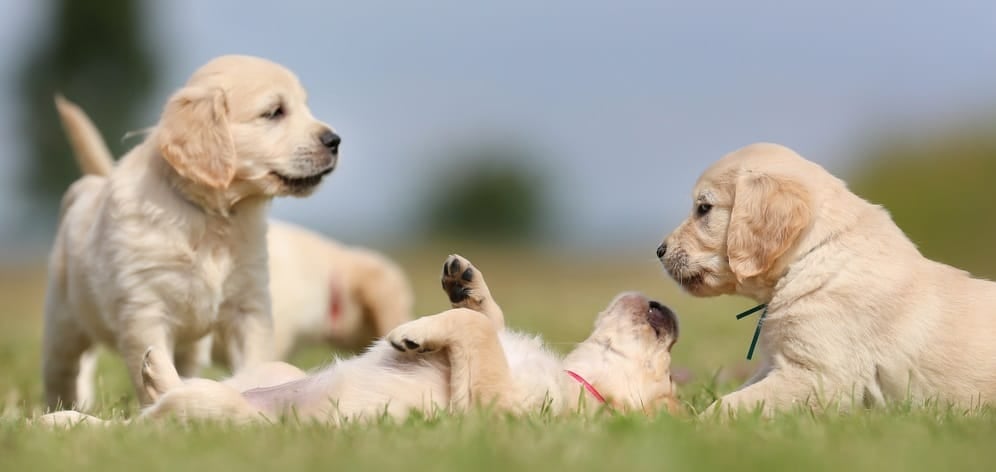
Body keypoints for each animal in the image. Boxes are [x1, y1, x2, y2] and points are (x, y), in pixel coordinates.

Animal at [37, 256, 676, 426]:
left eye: (666, 376)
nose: (669, 313)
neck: (581, 387)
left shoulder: (492, 410)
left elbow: (475, 332)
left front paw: (410, 334)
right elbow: (485, 319)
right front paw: (465, 284)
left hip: (222, 414)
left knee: (147, 420)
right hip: (272, 368)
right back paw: (147, 372)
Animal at [44, 54, 340, 410]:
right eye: (274, 112)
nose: (335, 141)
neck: (213, 219)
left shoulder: (250, 306)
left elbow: (255, 361)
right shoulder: (145, 312)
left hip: (192, 347)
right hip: (64, 323)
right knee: (60, 372)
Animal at [656, 143, 996, 412]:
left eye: (704, 208)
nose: (660, 250)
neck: (812, 256)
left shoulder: (820, 375)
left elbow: (733, 404)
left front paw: (698, 427)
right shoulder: (777, 364)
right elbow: (738, 392)